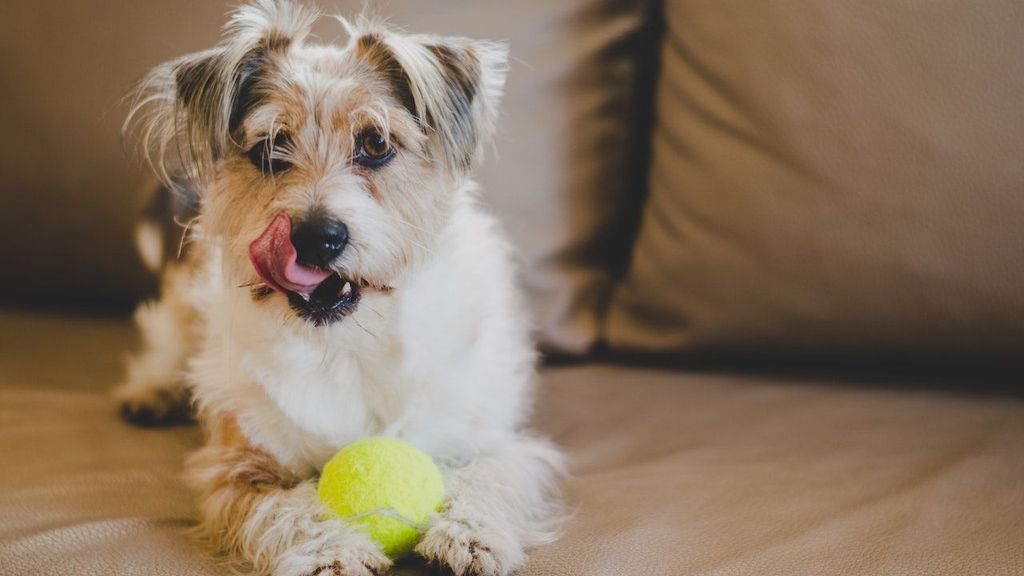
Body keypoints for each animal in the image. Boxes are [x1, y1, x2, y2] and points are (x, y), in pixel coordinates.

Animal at [115, 2, 565, 569]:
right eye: (269, 150)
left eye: (375, 143)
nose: (316, 238)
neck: (347, 345)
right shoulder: (235, 470)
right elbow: (287, 508)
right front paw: (332, 552)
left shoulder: (494, 440)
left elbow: (492, 476)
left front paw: (470, 534)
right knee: (166, 337)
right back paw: (152, 390)